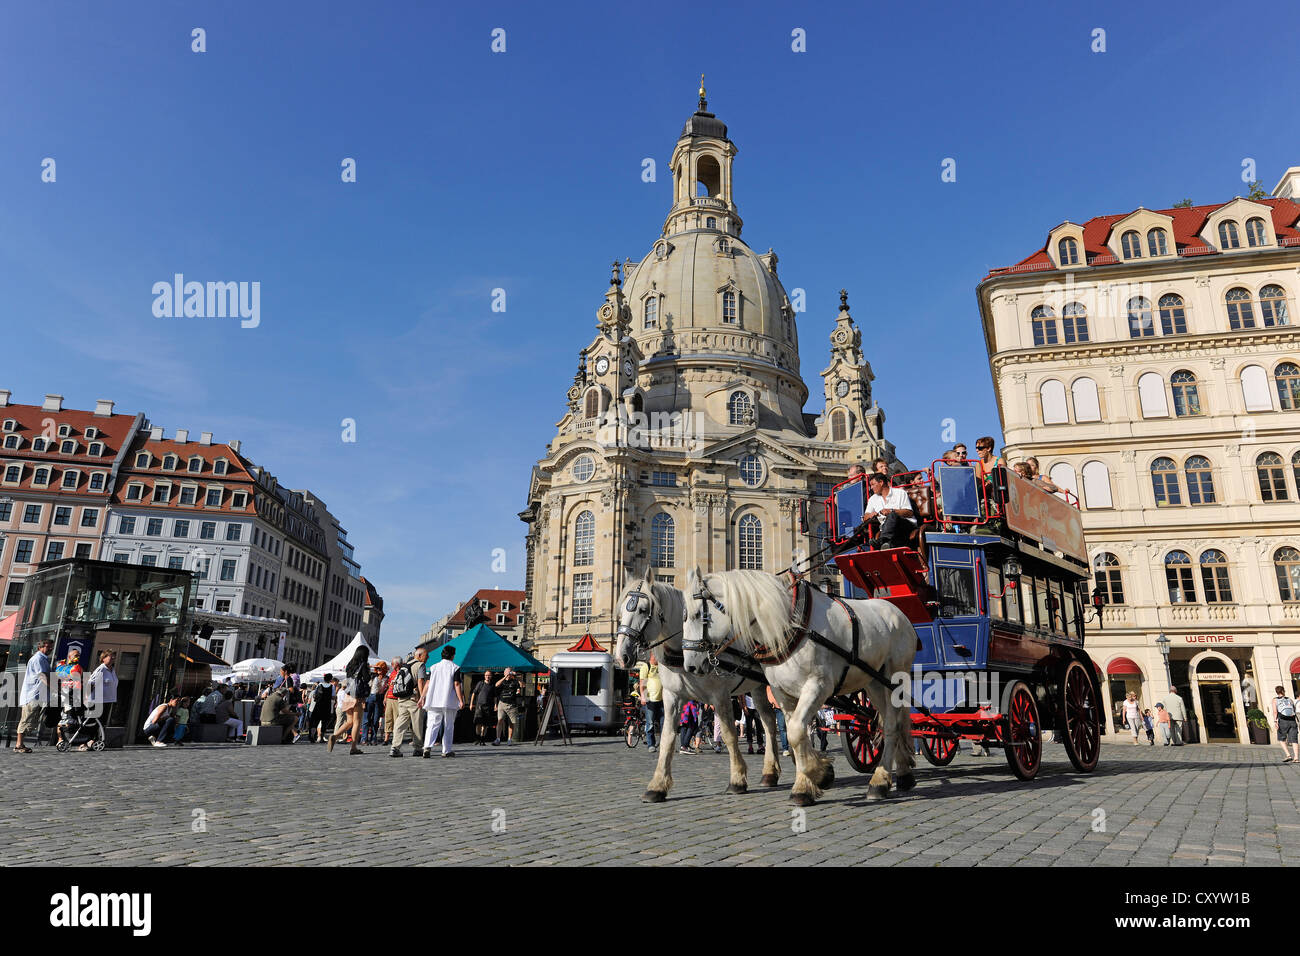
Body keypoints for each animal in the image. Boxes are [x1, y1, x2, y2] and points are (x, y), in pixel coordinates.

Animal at [611, 572, 774, 806]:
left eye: (642, 609)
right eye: (622, 610)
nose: (621, 657)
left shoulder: (720, 697)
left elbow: (729, 734)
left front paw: (737, 780)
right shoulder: (672, 697)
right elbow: (668, 737)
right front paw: (657, 786)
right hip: (758, 688)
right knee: (770, 722)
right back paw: (770, 773)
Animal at [681, 567, 915, 806]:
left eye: (698, 615)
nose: (690, 666)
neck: (788, 624)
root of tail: (897, 612)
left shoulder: (818, 687)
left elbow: (795, 732)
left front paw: (821, 775)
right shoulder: (782, 692)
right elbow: (796, 734)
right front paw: (806, 785)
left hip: (895, 679)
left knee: (892, 725)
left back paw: (880, 782)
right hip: (874, 682)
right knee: (886, 722)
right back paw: (901, 774)